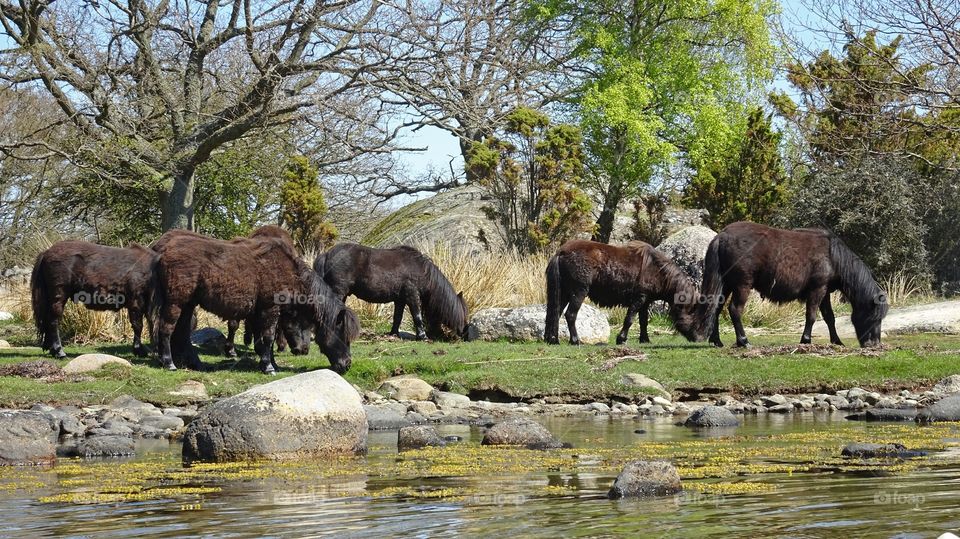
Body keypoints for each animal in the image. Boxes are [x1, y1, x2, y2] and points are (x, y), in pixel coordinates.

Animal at [150, 232, 360, 376]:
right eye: (343, 335)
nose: (347, 364)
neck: (289, 272)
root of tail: (161, 247)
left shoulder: (259, 313)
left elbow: (263, 340)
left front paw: (269, 363)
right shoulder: (270, 309)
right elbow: (268, 337)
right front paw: (268, 367)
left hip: (188, 304)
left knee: (182, 333)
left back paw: (193, 363)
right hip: (176, 302)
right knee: (166, 329)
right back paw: (168, 362)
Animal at [316, 245, 468, 342]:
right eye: (463, 315)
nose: (465, 333)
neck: (422, 270)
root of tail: (327, 254)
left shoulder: (400, 300)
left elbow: (397, 318)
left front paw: (393, 334)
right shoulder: (412, 296)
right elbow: (417, 316)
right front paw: (423, 336)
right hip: (339, 293)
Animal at [544, 240, 708, 346]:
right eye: (696, 317)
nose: (699, 339)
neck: (657, 271)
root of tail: (561, 252)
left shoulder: (645, 302)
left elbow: (643, 322)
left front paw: (645, 340)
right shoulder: (639, 299)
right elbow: (629, 319)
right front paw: (621, 339)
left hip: (564, 293)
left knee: (555, 313)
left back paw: (553, 339)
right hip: (579, 292)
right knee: (570, 315)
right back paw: (575, 340)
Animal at [696, 221, 892, 348]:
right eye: (874, 317)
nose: (874, 344)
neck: (832, 256)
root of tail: (722, 236)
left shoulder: (825, 292)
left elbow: (829, 317)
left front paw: (837, 341)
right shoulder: (817, 290)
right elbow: (811, 316)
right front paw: (806, 340)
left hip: (727, 285)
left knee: (716, 308)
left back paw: (717, 341)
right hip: (741, 286)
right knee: (735, 310)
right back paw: (743, 341)